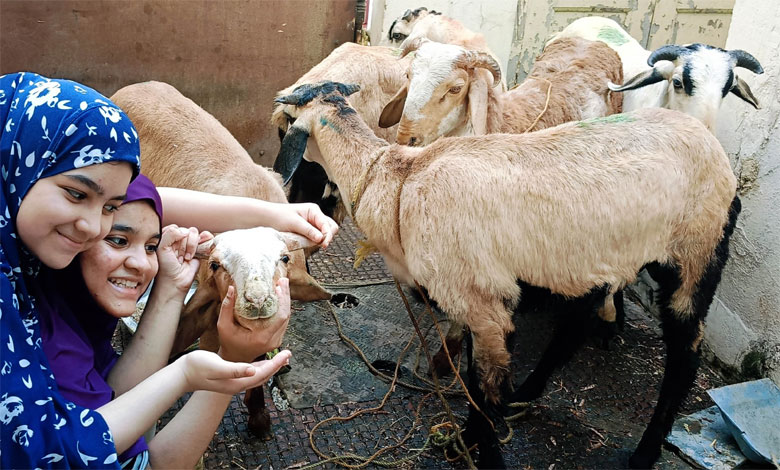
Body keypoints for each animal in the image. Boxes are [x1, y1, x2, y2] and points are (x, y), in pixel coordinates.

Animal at [276, 82, 744, 468]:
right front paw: (463, 439)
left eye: (285, 126)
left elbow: (485, 391)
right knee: (573, 328)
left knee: (685, 356)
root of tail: (712, 144)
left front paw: (483, 450)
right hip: (591, 262)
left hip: (695, 255)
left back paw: (645, 452)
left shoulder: (483, 307)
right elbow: (472, 381)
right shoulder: (471, 302)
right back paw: (527, 393)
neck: (397, 183)